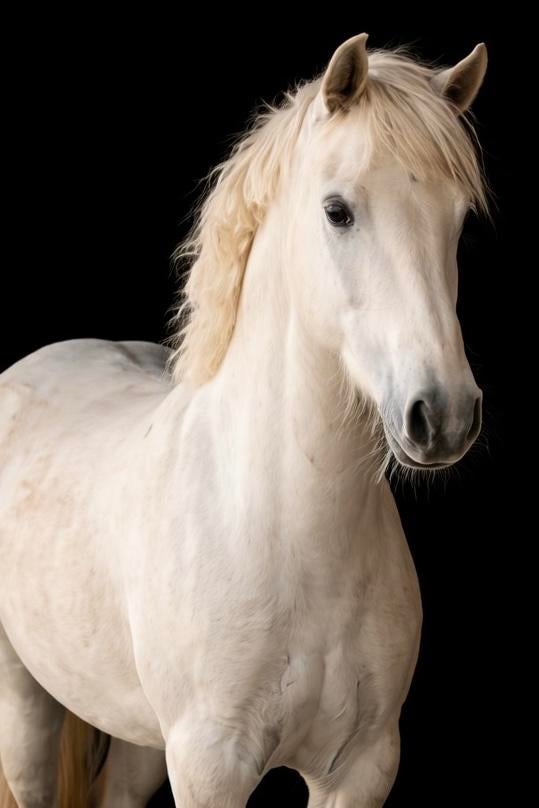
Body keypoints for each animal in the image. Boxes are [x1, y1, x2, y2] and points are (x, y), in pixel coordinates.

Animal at [0, 34, 488, 808]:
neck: (285, 527)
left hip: (141, 740)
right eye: (337, 211)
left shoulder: (362, 768)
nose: (442, 414)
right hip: (25, 705)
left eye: (459, 218)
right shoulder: (210, 767)